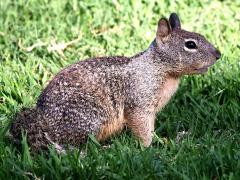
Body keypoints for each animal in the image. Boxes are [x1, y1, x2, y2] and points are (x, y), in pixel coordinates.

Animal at [10, 11, 221, 151]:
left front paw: (164, 141)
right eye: (190, 44)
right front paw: (149, 148)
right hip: (91, 116)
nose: (218, 54)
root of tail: (42, 119)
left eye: (201, 36)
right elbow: (142, 128)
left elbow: (151, 128)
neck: (159, 69)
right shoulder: (139, 103)